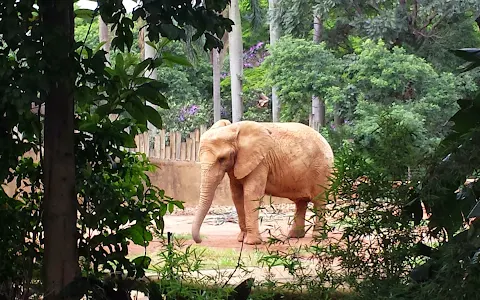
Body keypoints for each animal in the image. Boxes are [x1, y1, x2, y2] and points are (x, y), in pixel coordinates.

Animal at [190, 118, 334, 245]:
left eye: (222, 159)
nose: (200, 240)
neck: (234, 129)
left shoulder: (261, 162)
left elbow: (250, 194)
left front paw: (251, 243)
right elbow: (237, 196)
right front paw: (241, 239)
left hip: (322, 170)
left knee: (319, 201)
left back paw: (318, 237)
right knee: (301, 202)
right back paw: (294, 236)